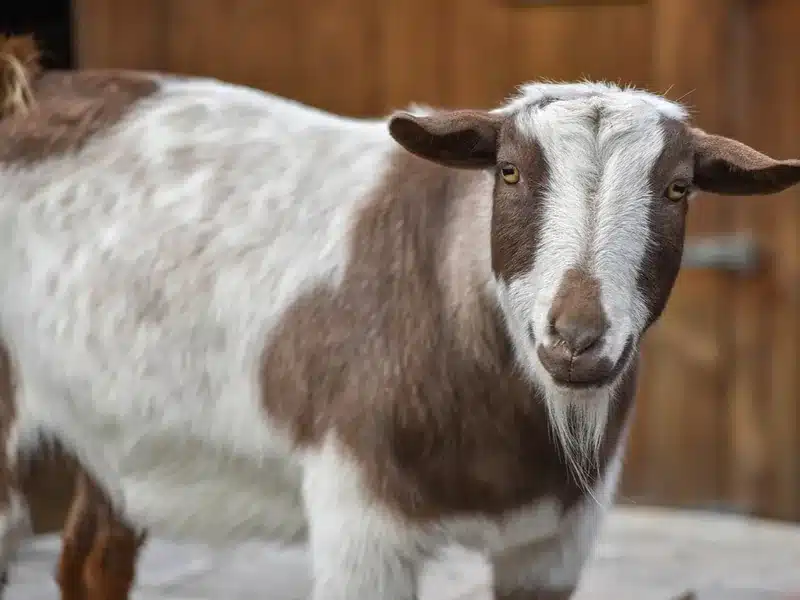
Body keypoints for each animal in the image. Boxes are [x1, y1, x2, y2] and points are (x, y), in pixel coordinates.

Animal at [0, 35, 798, 600]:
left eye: (678, 187)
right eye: (508, 171)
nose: (576, 339)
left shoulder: (554, 543)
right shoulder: (359, 521)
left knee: (93, 562)